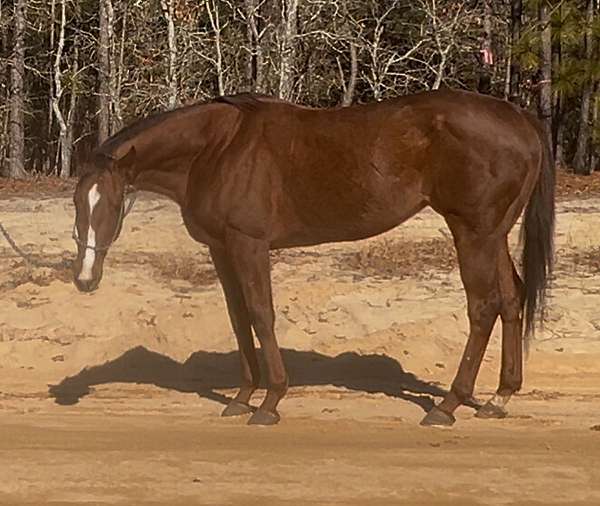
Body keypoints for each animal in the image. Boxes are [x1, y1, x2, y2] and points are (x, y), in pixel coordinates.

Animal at [72, 91, 556, 426]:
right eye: (79, 202)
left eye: (111, 205)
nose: (84, 279)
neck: (218, 148)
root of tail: (520, 119)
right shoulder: (221, 249)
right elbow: (239, 319)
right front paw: (241, 397)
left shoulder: (248, 244)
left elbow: (261, 315)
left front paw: (270, 401)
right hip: (493, 234)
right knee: (511, 299)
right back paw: (498, 398)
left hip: (471, 232)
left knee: (483, 307)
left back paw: (448, 404)